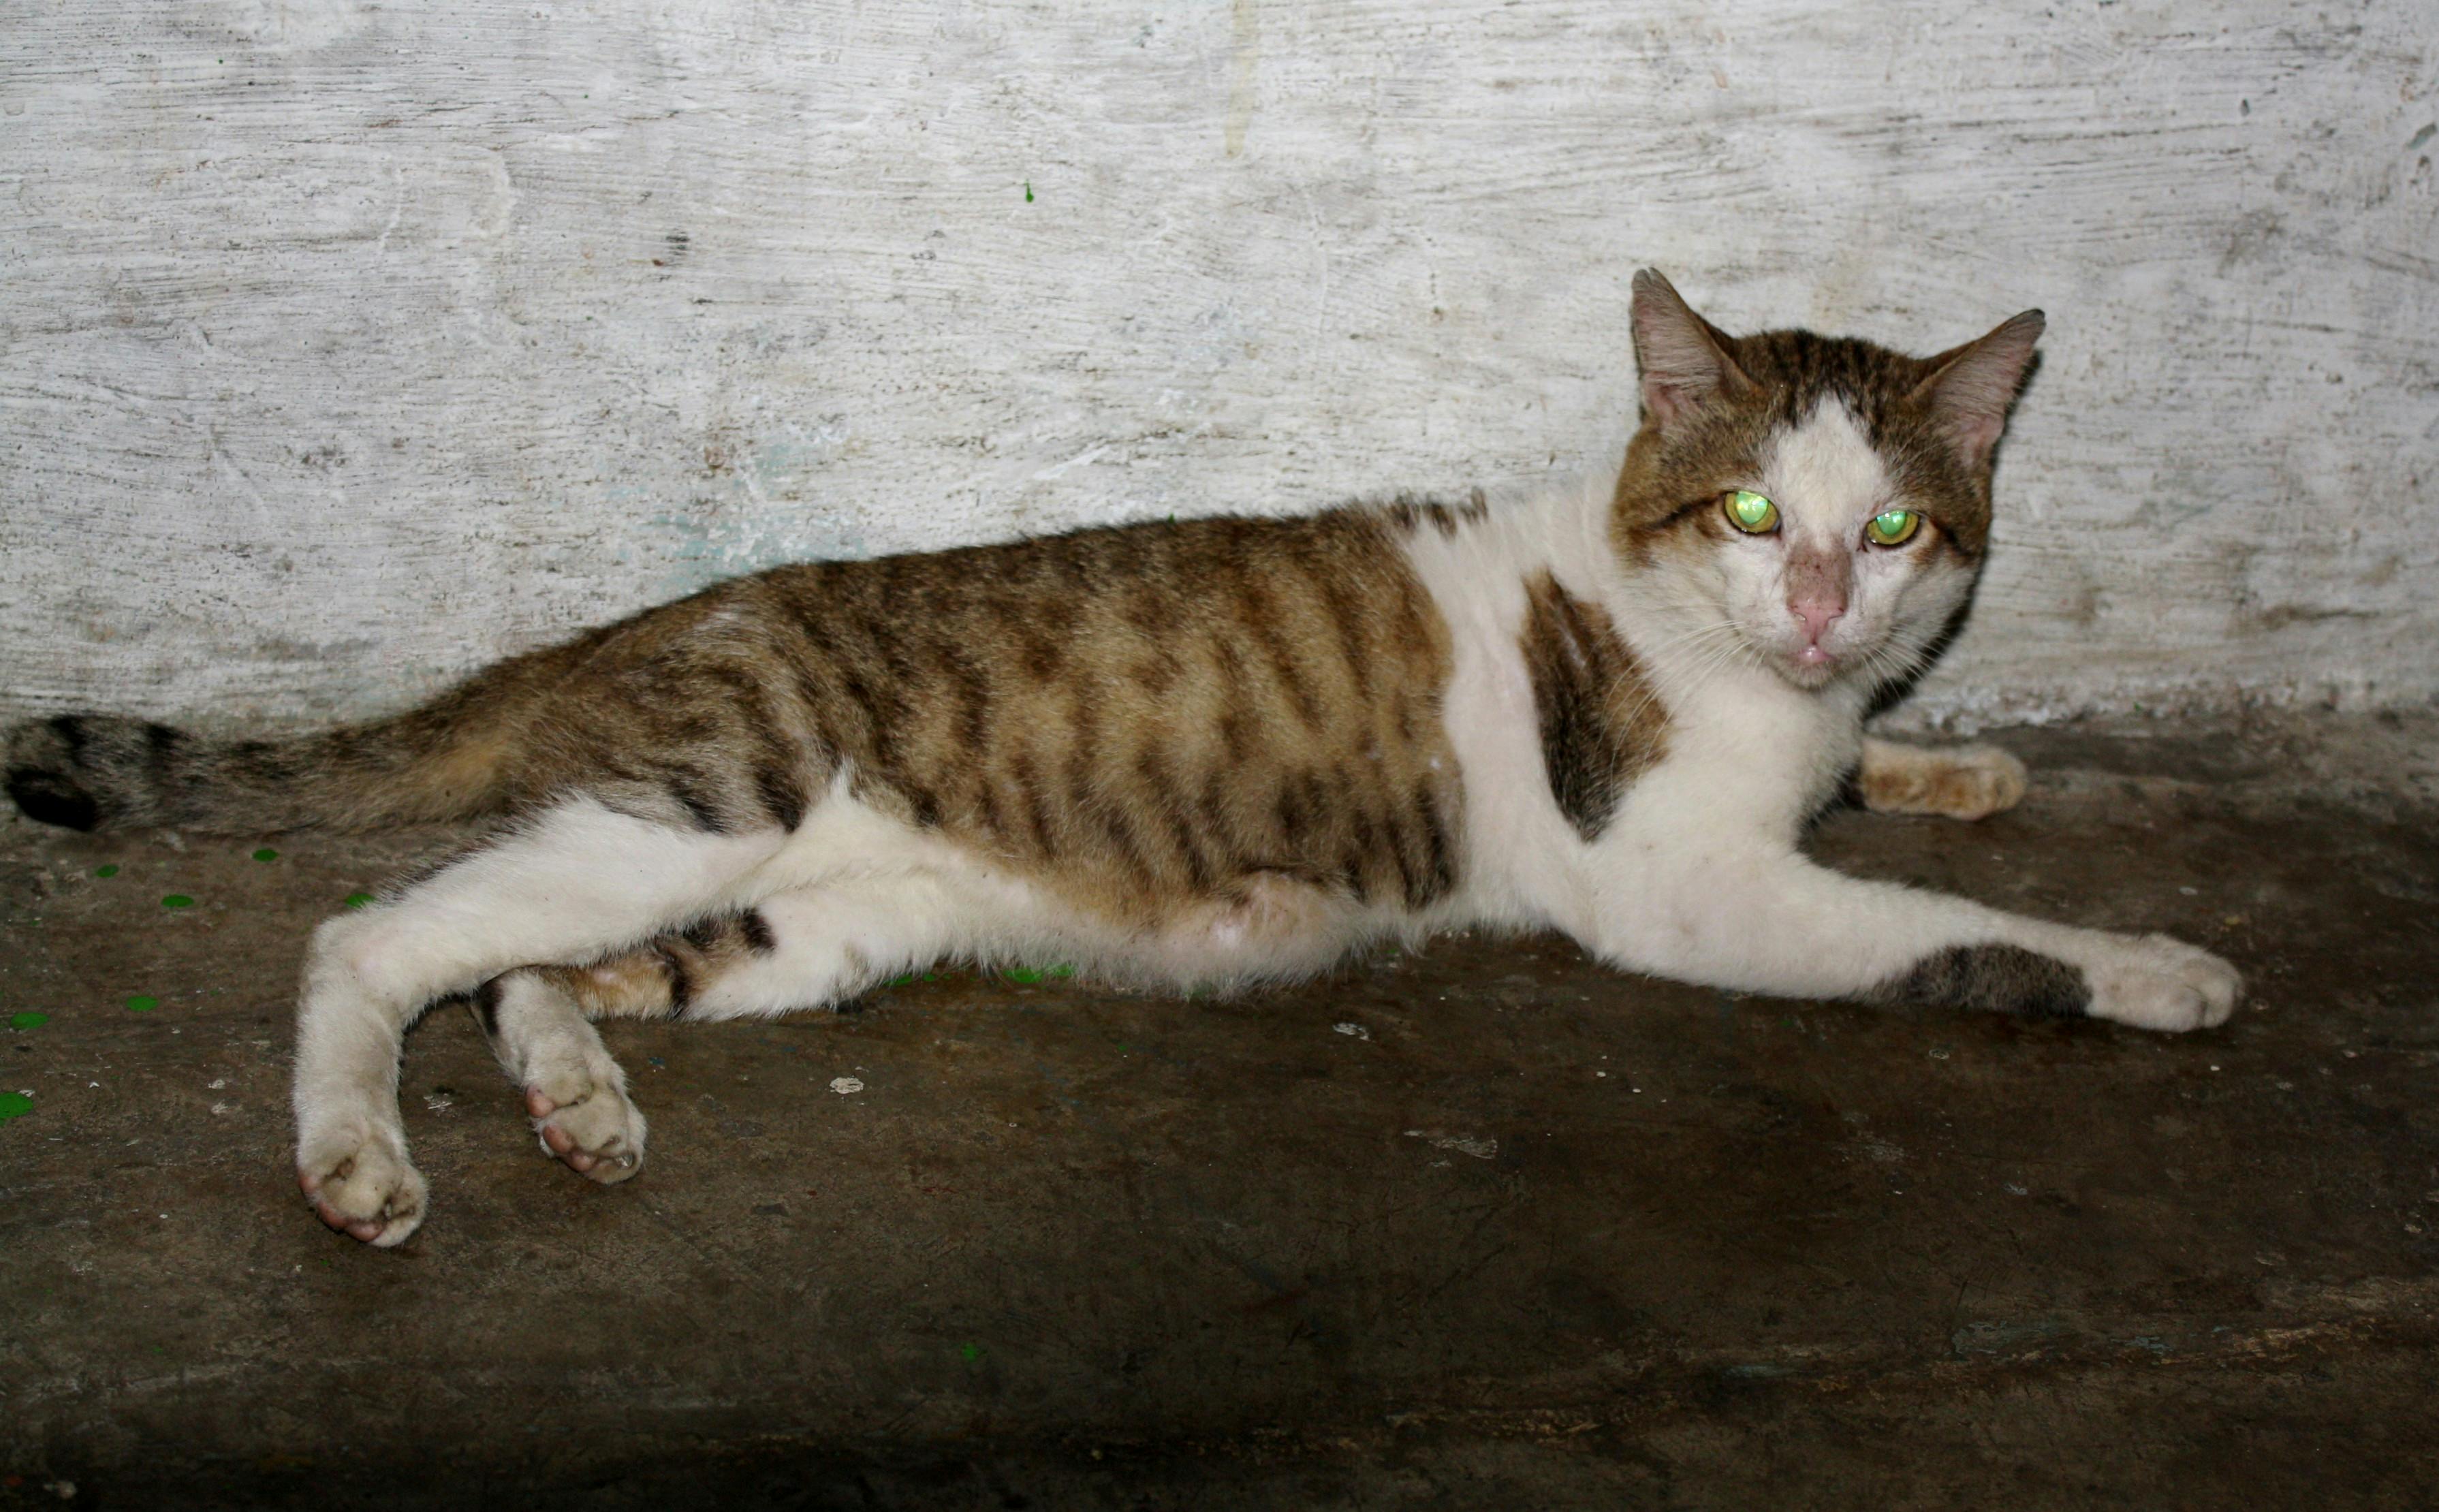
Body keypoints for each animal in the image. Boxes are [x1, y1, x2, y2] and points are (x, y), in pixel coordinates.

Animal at [4, 274, 2244, 1248]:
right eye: (1752, 515)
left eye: (1894, 529)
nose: (1819, 611)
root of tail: (661, 614)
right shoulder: (1684, 883)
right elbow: (1948, 934)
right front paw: (2150, 964)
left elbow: (1896, 779)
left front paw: (1956, 760)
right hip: (719, 794)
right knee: (372, 935)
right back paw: (355, 1148)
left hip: (785, 915)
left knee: (527, 962)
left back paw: (573, 1096)